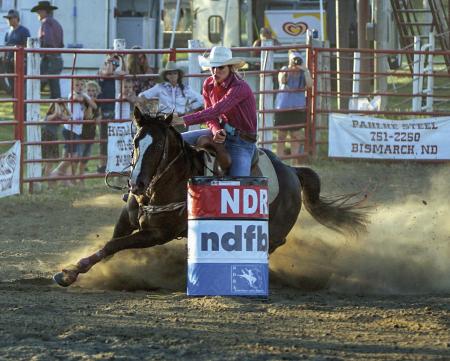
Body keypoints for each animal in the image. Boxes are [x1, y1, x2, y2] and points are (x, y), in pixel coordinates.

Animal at [53, 107, 370, 286]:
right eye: (135, 142)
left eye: (158, 147)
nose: (136, 184)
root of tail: (292, 171)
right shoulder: (127, 221)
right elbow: (108, 246)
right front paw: (71, 272)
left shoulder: (158, 234)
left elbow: (113, 245)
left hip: (273, 229)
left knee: (270, 244)